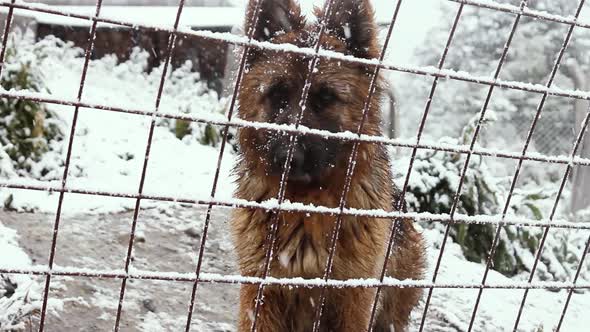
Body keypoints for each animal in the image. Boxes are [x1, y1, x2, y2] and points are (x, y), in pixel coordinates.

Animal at [230, 0, 426, 330]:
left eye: (325, 98)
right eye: (277, 95)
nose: (287, 156)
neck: (305, 205)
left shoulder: (353, 299)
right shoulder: (261, 294)